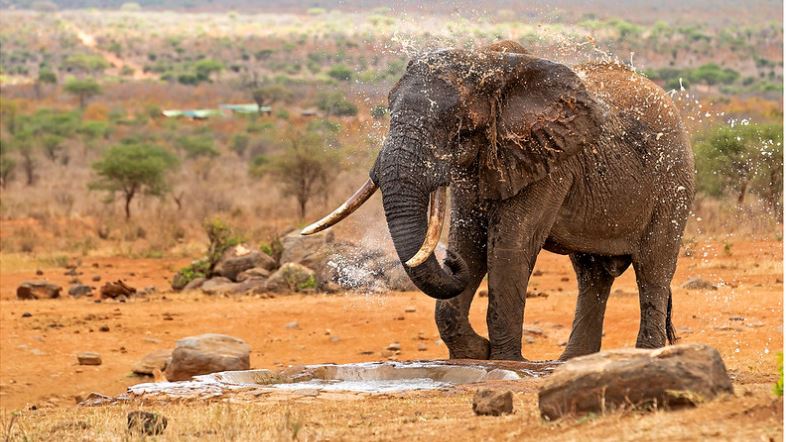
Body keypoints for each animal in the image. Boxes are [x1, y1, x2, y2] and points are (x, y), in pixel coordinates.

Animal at [300, 39, 692, 360]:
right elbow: (470, 240)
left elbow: (508, 247)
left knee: (653, 269)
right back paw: (573, 362)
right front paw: (474, 353)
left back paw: (645, 357)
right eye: (389, 109)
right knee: (593, 275)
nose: (450, 262)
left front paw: (505, 360)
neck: (494, 67)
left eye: (456, 125)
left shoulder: (548, 161)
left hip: (673, 184)